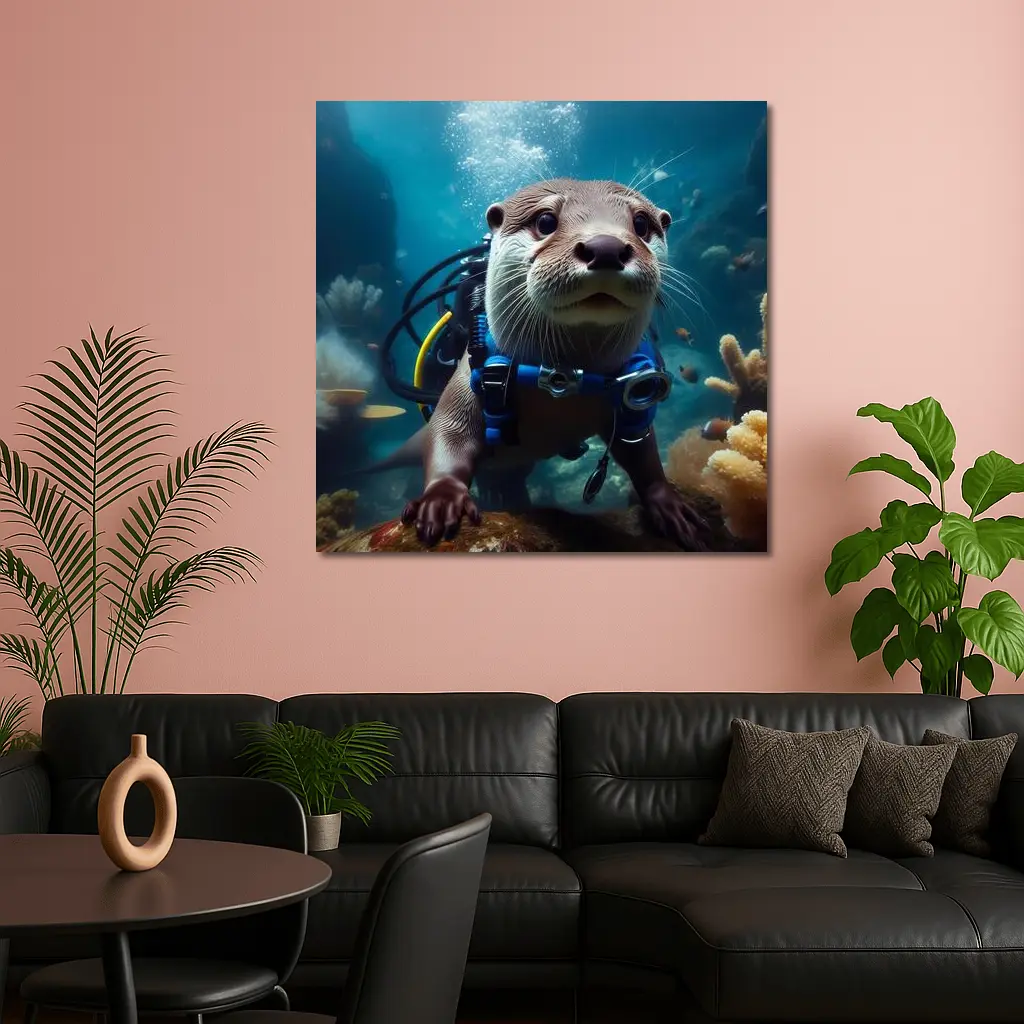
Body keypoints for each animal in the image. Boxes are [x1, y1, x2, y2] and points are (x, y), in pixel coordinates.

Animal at [400, 178, 707, 549]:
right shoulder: (466, 380)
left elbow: (641, 451)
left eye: (641, 224)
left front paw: (670, 505)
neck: (564, 377)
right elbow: (450, 432)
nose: (605, 247)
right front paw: (442, 500)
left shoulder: (636, 393)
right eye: (545, 221)